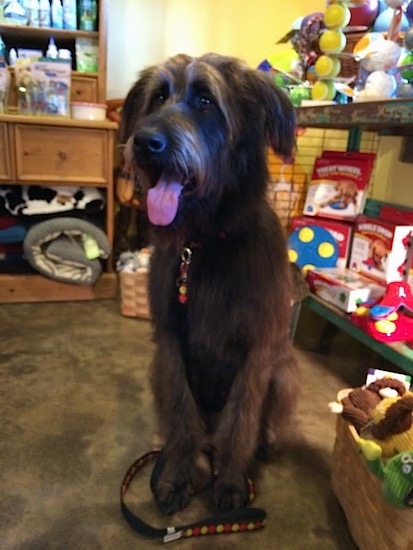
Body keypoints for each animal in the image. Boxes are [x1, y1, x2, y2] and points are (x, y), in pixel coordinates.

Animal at [120, 51, 298, 516]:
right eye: (158, 97)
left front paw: (232, 483)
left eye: (206, 100)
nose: (144, 142)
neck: (206, 242)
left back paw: (266, 443)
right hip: (156, 369)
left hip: (285, 373)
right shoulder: (170, 344)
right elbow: (183, 417)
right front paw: (176, 476)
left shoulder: (257, 353)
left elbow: (241, 423)